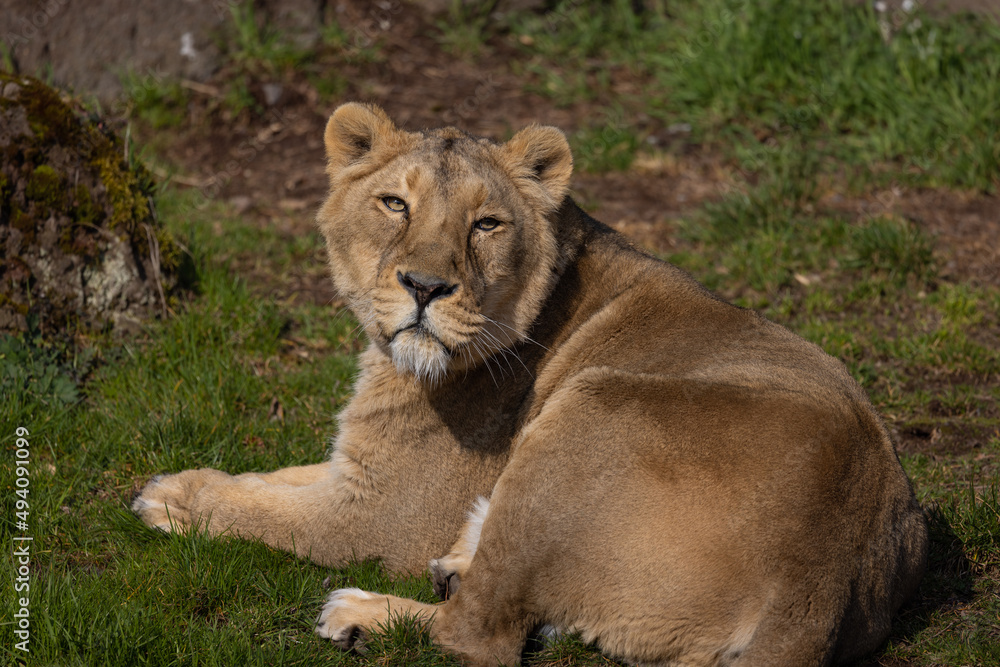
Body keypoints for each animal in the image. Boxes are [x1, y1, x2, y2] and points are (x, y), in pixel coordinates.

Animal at [133, 102, 928, 666]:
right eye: (395, 204)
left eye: (486, 223)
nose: (425, 286)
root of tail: (822, 578)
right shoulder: (358, 469)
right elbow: (274, 479)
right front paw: (179, 481)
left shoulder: (383, 517)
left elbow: (276, 515)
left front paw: (169, 501)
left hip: (590, 407)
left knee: (478, 634)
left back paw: (359, 614)